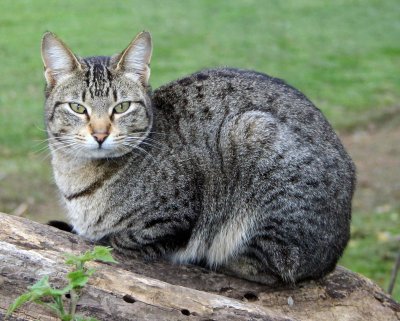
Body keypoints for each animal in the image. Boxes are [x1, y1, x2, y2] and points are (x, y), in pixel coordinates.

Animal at [41, 31, 356, 284]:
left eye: (122, 107)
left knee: (271, 268)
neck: (77, 174)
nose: (100, 134)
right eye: (77, 108)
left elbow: (116, 240)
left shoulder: (172, 219)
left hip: (252, 134)